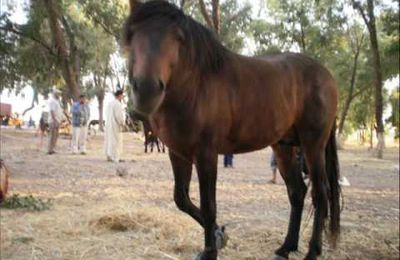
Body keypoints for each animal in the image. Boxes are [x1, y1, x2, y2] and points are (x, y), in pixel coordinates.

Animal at [122, 1, 340, 258]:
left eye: (178, 37)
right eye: (133, 33)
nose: (147, 90)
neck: (196, 87)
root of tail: (326, 75)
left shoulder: (206, 154)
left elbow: (209, 206)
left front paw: (211, 249)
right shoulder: (178, 153)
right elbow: (181, 199)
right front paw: (219, 235)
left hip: (313, 145)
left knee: (320, 194)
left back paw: (312, 251)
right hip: (284, 147)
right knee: (297, 192)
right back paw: (286, 247)